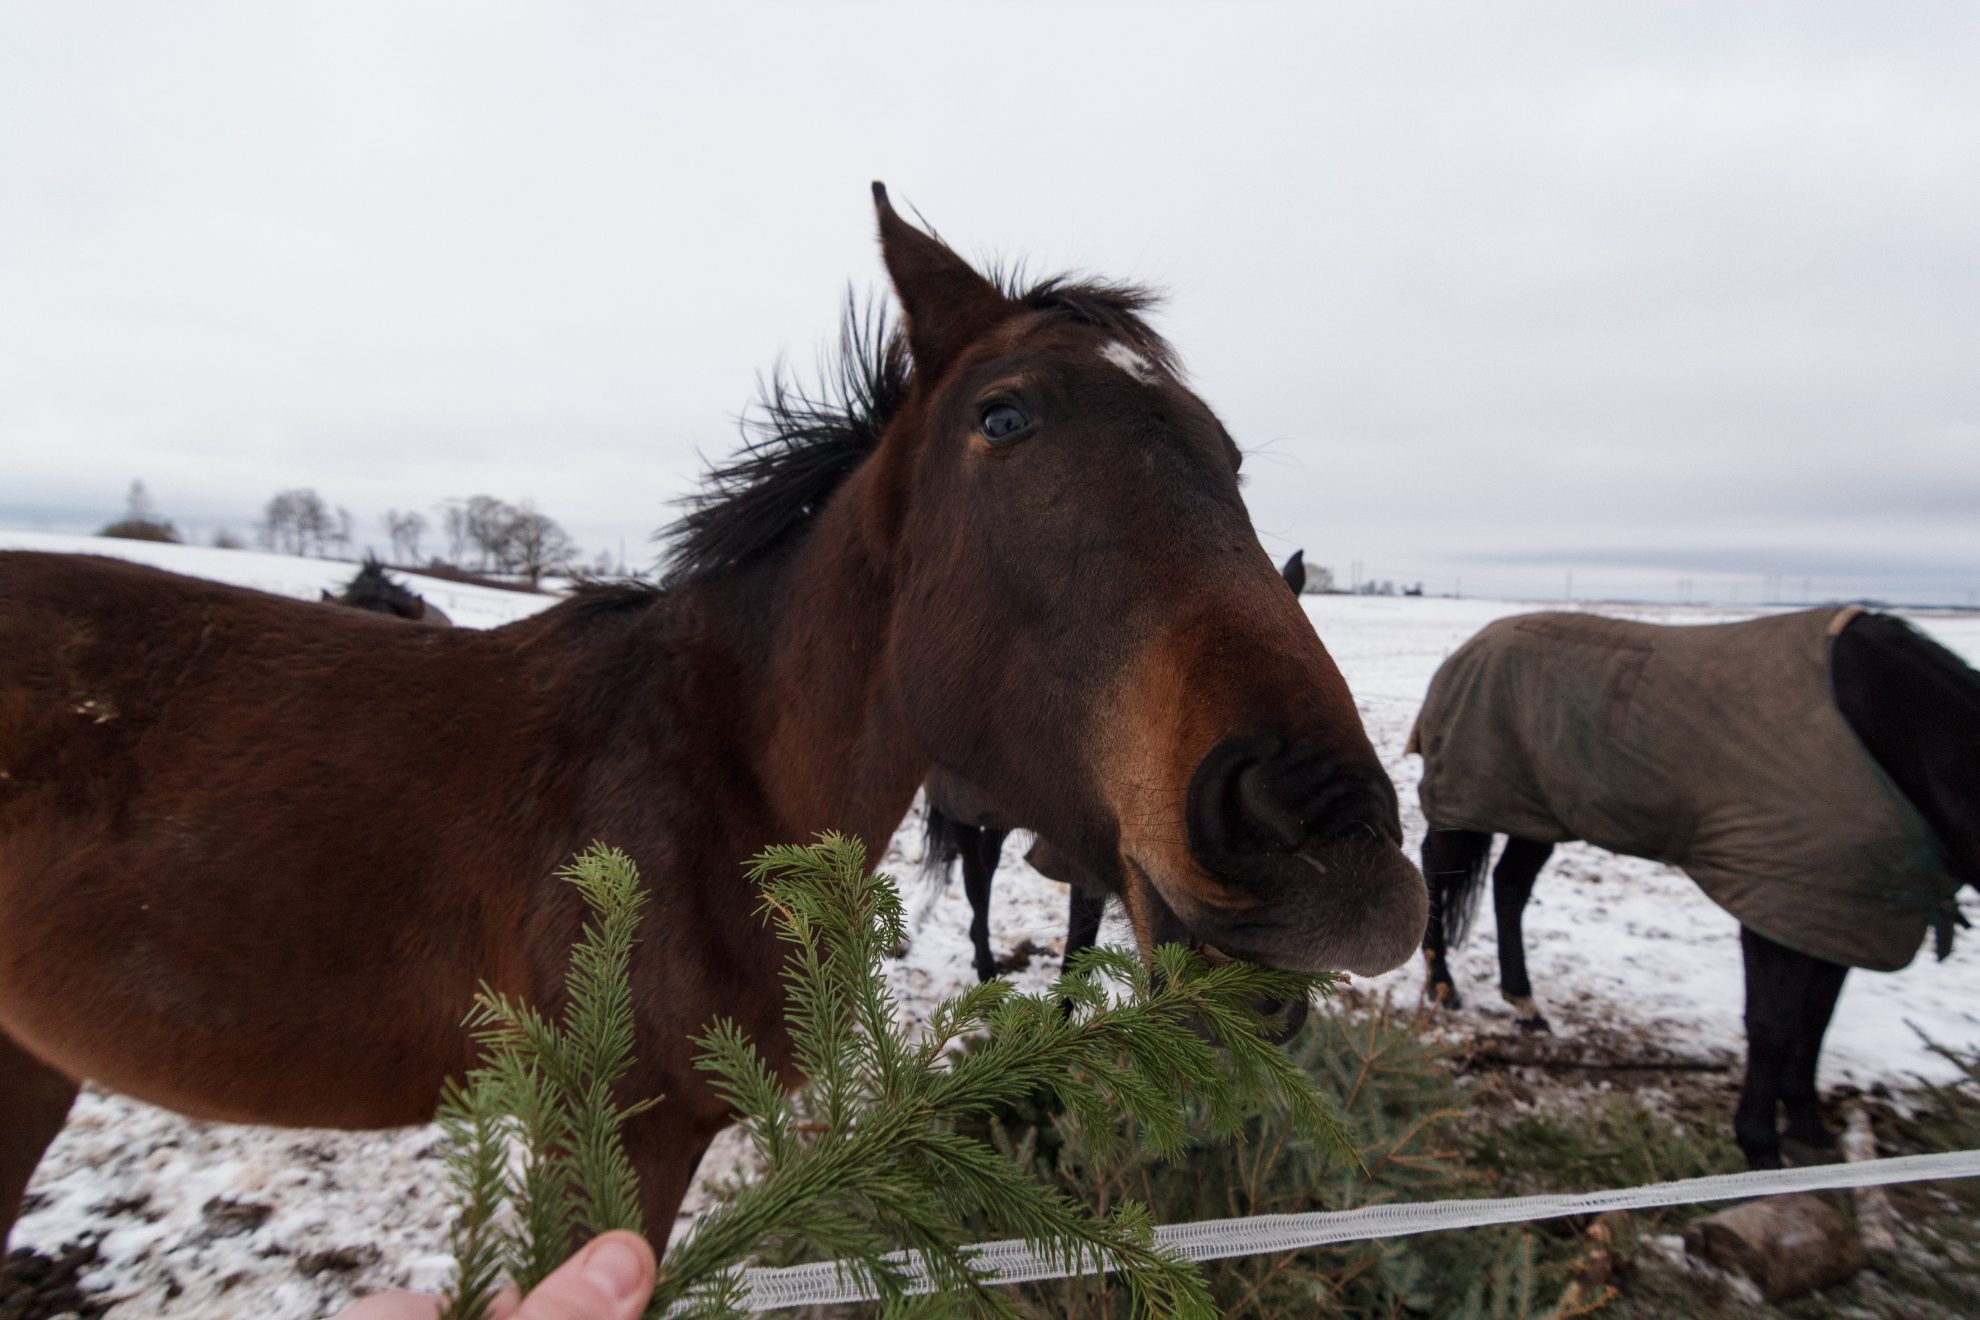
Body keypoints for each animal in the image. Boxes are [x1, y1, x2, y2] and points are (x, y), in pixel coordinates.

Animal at [1417, 605, 1972, 1163]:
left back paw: (1525, 1004)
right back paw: (1443, 984)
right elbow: (1773, 1025)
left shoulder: (1840, 909)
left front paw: (1808, 1131)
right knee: (1436, 874)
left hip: (1537, 814)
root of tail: (1471, 647)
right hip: (1470, 800)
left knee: (1509, 886)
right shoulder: (1773, 898)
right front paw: (1761, 1149)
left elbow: (1815, 1020)